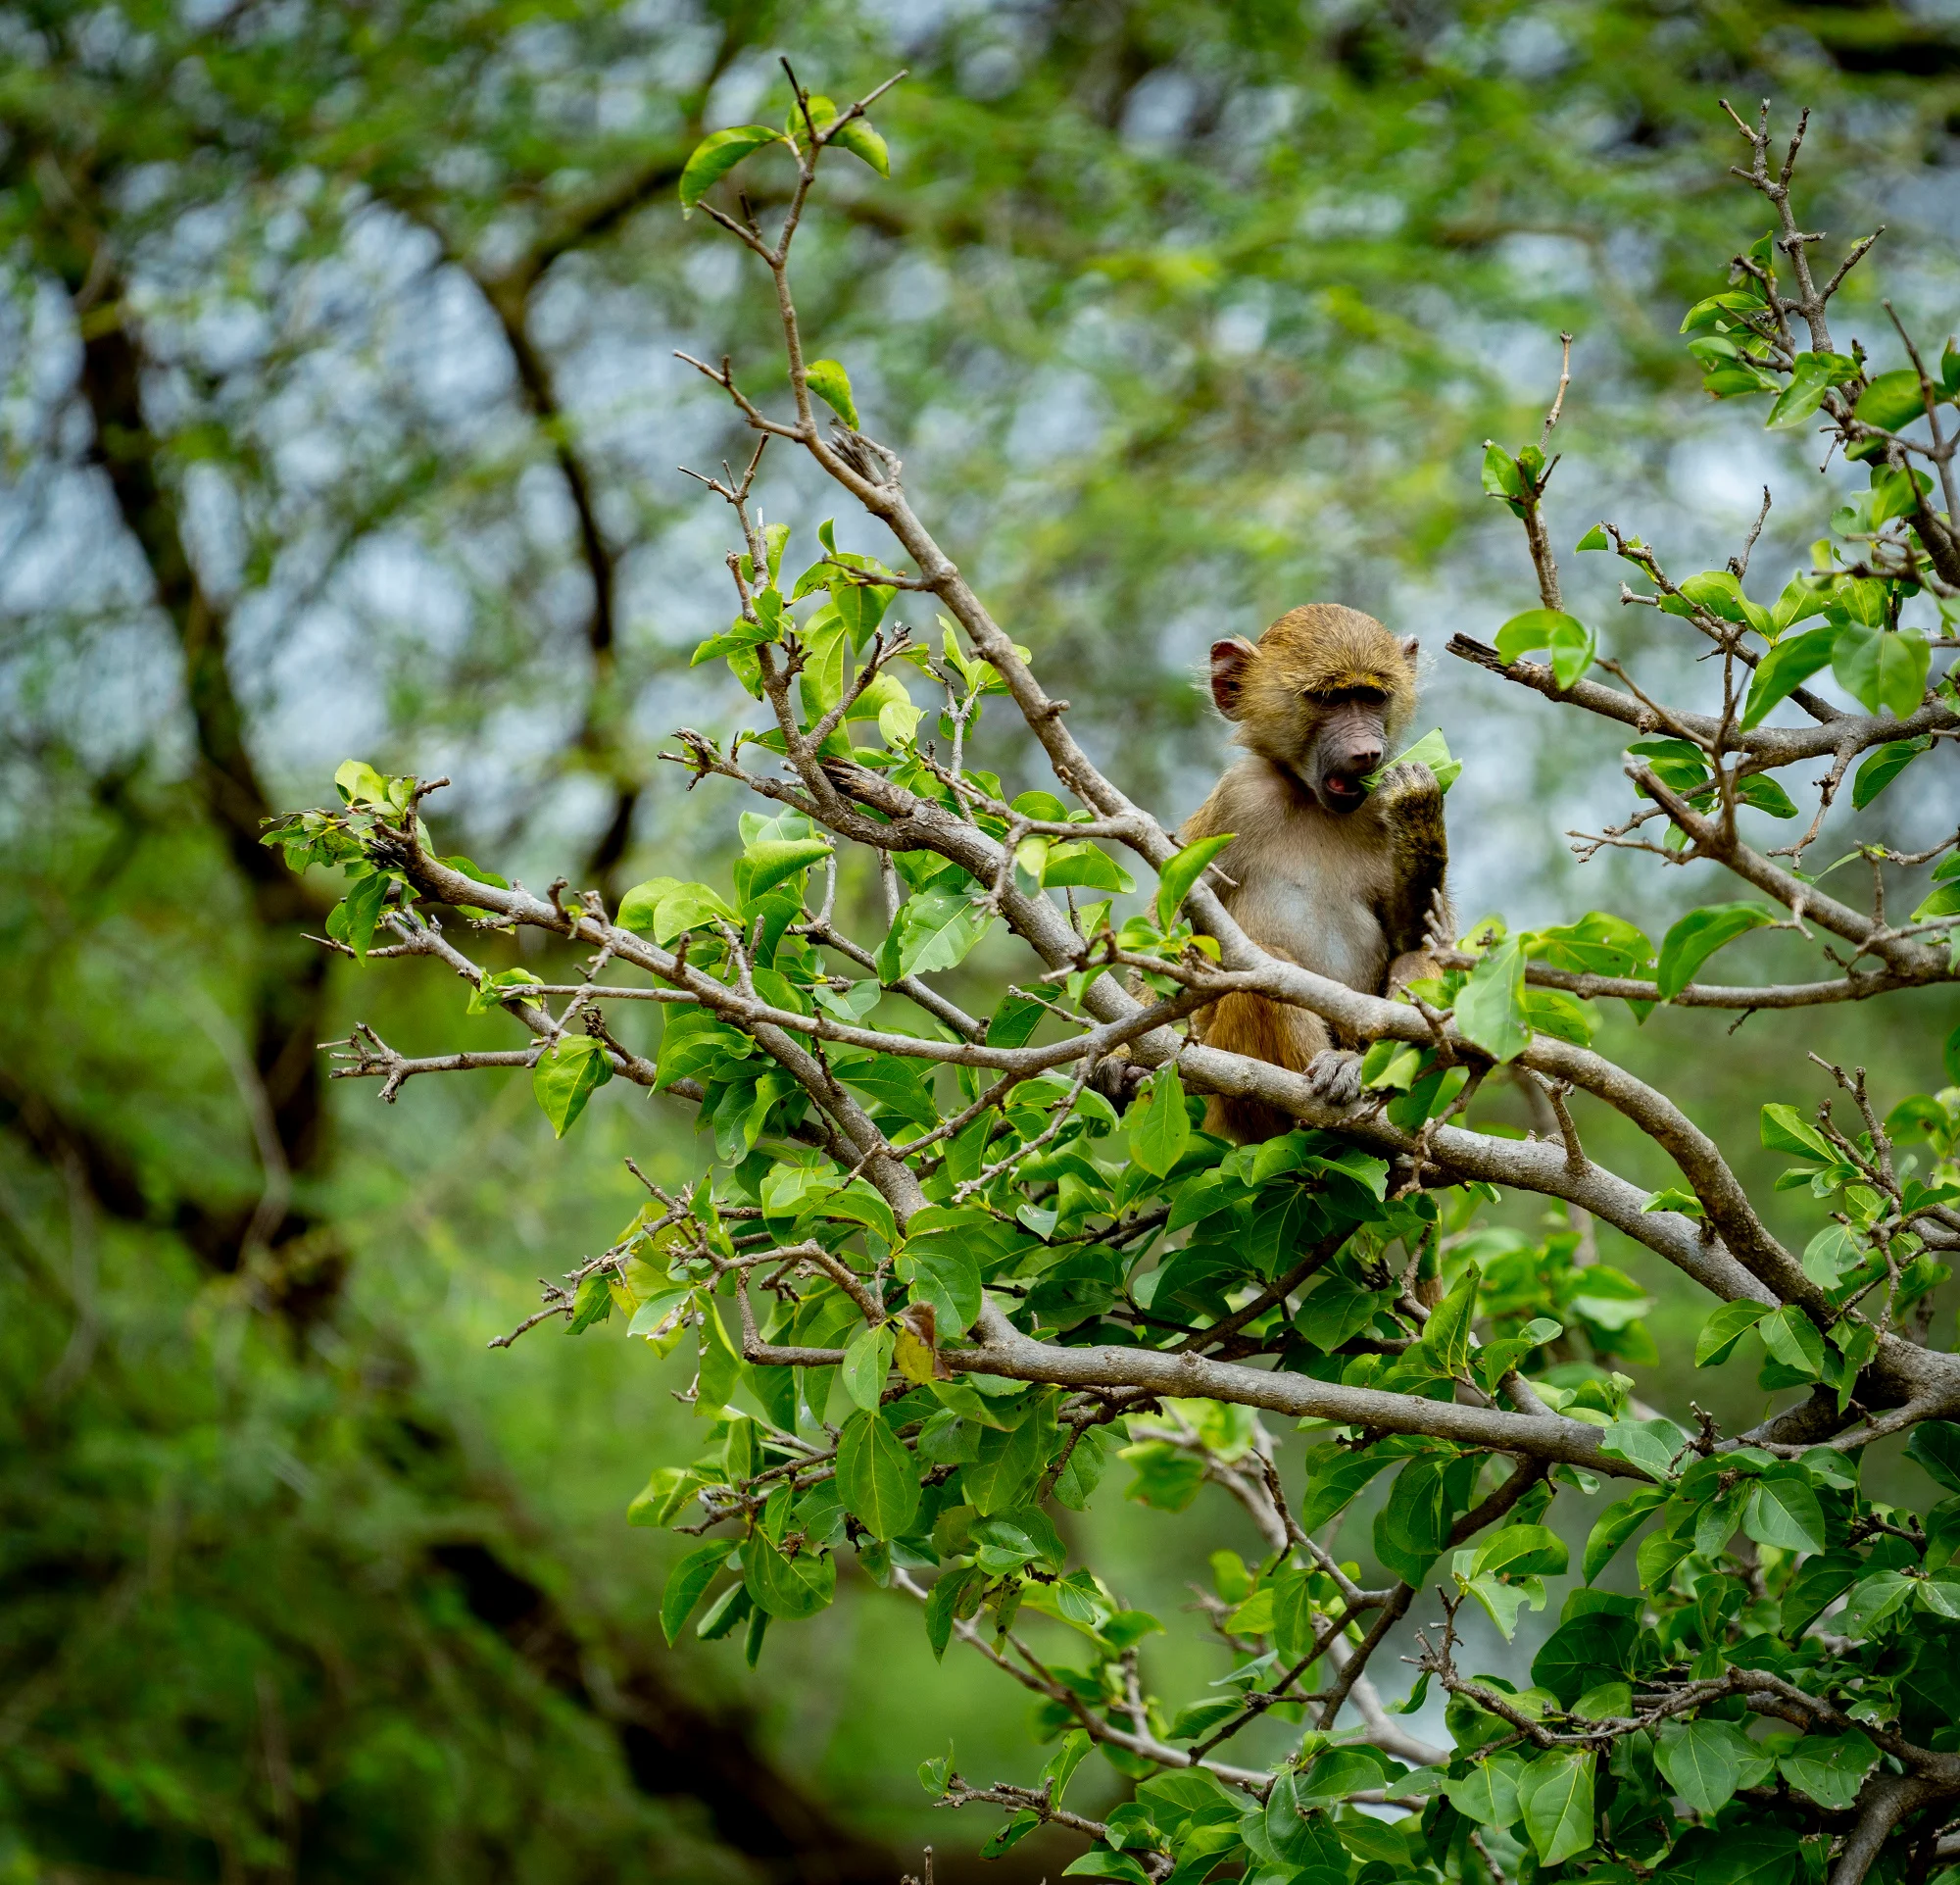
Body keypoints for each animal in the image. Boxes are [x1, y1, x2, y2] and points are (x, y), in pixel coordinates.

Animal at [1181, 603, 1451, 1143]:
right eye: (1329, 699)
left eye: (1372, 697)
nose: (1367, 753)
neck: (1311, 799)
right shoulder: (1237, 798)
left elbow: (1419, 940)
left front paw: (1418, 811)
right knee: (1262, 971)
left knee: (1416, 962)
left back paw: (1362, 1077)